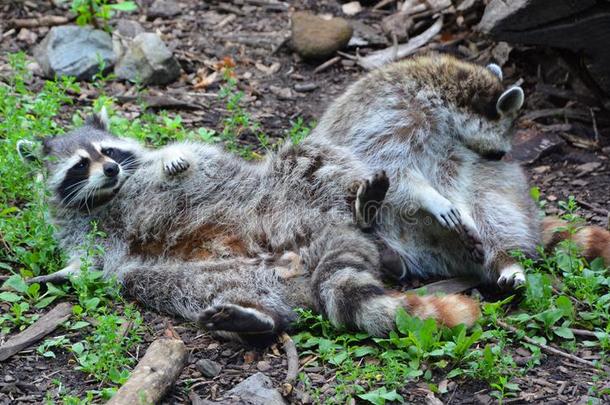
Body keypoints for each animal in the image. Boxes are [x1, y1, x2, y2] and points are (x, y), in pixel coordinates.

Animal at [16, 109, 478, 344]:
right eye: (81, 164)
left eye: (109, 151)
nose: (111, 170)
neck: (105, 199)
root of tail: (322, 231)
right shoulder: (77, 228)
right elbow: (89, 265)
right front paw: (56, 275)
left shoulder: (156, 167)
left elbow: (191, 153)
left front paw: (174, 160)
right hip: (230, 275)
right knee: (165, 284)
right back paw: (260, 318)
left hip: (292, 189)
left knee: (310, 157)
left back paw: (364, 211)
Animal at [308, 53, 608, 288]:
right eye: (499, 152)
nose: (503, 158)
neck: (439, 96)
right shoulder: (393, 116)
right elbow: (389, 162)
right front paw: (429, 196)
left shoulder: (451, 145)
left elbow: (456, 175)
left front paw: (458, 207)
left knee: (491, 199)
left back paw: (504, 257)